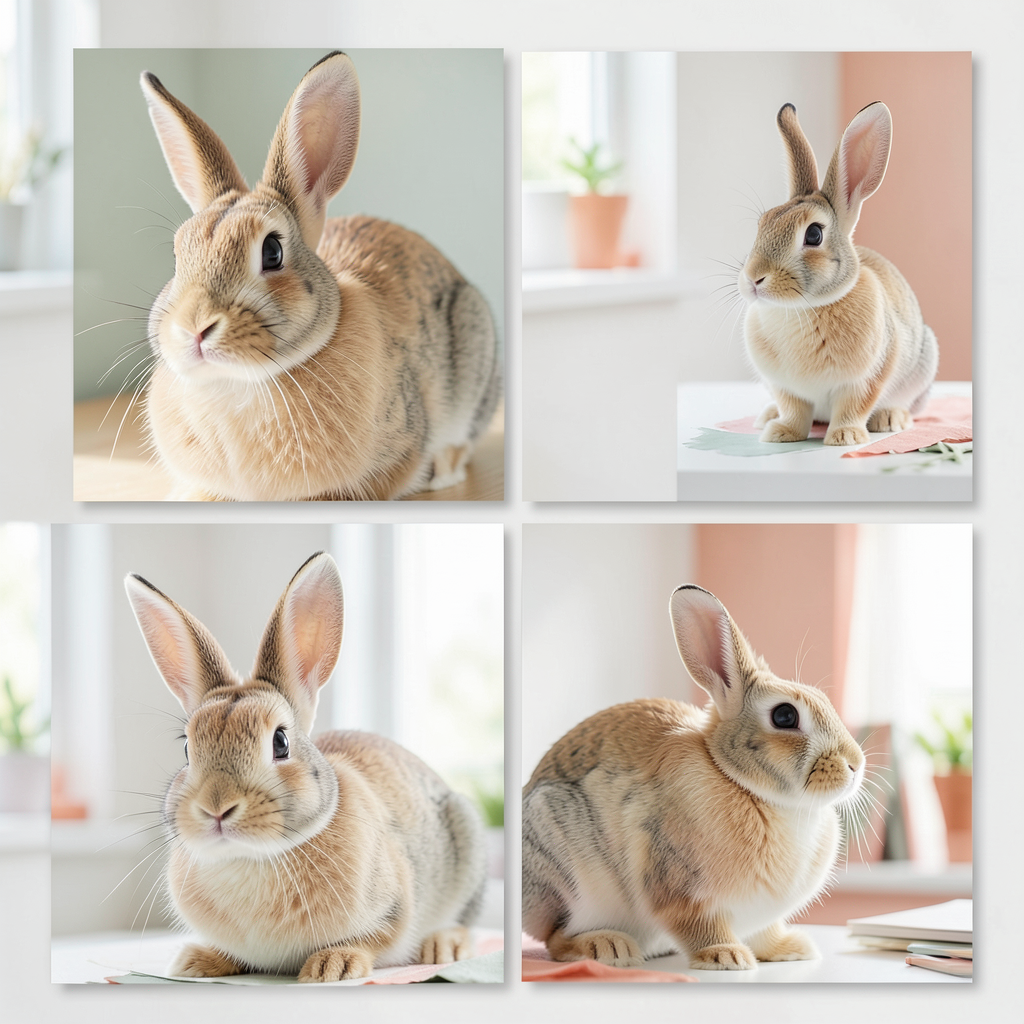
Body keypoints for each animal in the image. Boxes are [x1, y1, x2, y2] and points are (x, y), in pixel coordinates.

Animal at [124, 551, 486, 982]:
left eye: (280, 742)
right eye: (186, 749)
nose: (217, 808)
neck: (252, 857)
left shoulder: (393, 910)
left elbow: (374, 939)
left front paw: (333, 965)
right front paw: (195, 961)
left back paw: (443, 945)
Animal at [521, 584, 865, 971]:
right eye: (785, 716)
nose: (855, 764)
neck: (745, 786)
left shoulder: (760, 915)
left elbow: (766, 931)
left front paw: (791, 949)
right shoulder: (682, 891)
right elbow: (700, 926)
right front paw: (727, 956)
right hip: (563, 868)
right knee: (556, 939)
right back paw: (608, 947)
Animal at [737, 101, 938, 446]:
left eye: (814, 234)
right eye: (763, 223)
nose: (753, 279)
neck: (803, 308)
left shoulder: (866, 378)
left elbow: (853, 406)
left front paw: (845, 437)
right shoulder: (784, 387)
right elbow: (794, 410)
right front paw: (781, 434)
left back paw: (889, 419)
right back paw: (768, 416)